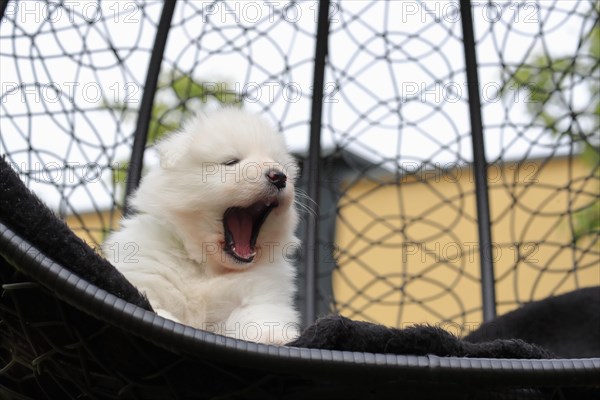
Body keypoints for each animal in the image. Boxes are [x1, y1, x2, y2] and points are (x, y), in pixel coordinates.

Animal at [104, 108, 300, 344]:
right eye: (231, 162)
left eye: (278, 163)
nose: (279, 176)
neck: (206, 266)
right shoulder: (145, 276)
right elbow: (159, 308)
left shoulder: (259, 293)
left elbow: (255, 317)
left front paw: (277, 336)